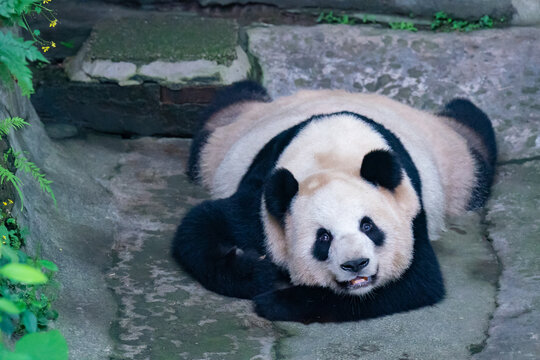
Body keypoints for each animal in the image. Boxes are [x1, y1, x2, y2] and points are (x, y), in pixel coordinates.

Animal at [171, 80, 496, 322]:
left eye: (368, 226)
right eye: (323, 237)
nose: (356, 264)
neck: (333, 158)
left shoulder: (410, 210)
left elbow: (416, 283)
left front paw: (276, 300)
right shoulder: (262, 198)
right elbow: (201, 227)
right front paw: (257, 270)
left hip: (456, 164)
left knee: (474, 136)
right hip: (223, 140)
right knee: (223, 111)